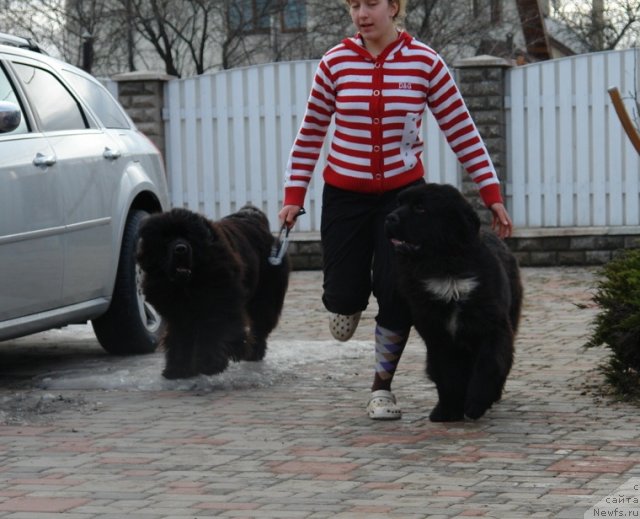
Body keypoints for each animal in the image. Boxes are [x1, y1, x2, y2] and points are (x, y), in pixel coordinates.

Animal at [139, 205, 292, 380]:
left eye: (189, 236)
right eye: (166, 239)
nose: (180, 249)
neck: (188, 284)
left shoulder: (219, 303)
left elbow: (213, 331)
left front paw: (209, 364)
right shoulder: (179, 313)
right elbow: (180, 338)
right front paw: (178, 368)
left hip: (265, 297)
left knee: (260, 325)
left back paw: (253, 353)